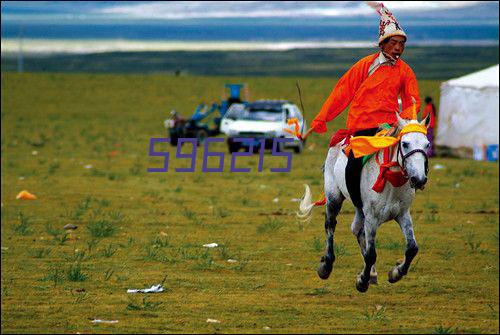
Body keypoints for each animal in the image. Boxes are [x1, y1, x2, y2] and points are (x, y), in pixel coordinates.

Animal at [298, 114, 432, 292]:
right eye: (405, 143)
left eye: (427, 144)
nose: (419, 179)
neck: (390, 179)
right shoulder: (372, 217)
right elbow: (371, 254)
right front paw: (362, 281)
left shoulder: (403, 214)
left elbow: (412, 248)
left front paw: (395, 273)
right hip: (334, 197)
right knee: (330, 225)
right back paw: (326, 266)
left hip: (360, 209)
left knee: (358, 230)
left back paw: (372, 274)